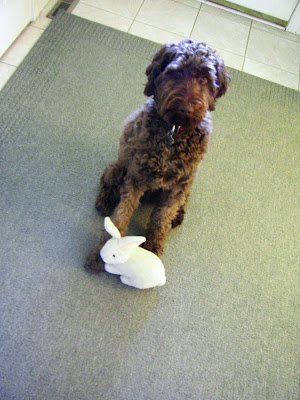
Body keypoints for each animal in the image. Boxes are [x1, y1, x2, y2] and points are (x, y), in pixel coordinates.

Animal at [84, 38, 230, 272]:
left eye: (204, 78)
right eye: (176, 72)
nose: (185, 109)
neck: (174, 133)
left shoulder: (178, 186)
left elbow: (162, 219)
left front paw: (153, 248)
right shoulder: (135, 179)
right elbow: (120, 218)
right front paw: (101, 253)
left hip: (188, 182)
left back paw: (179, 214)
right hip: (119, 167)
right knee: (107, 180)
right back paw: (105, 201)